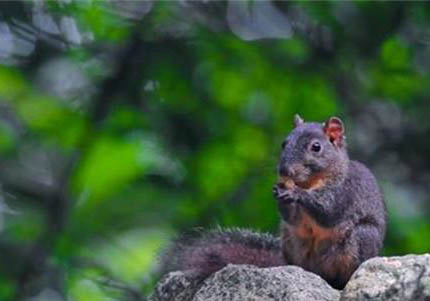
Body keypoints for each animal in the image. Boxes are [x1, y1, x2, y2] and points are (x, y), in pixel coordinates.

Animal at [160, 114, 388, 288]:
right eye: (284, 143)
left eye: (316, 147)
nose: (284, 171)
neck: (311, 181)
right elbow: (293, 218)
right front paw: (278, 191)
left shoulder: (345, 192)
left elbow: (329, 212)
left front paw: (296, 193)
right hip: (290, 240)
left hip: (362, 239)